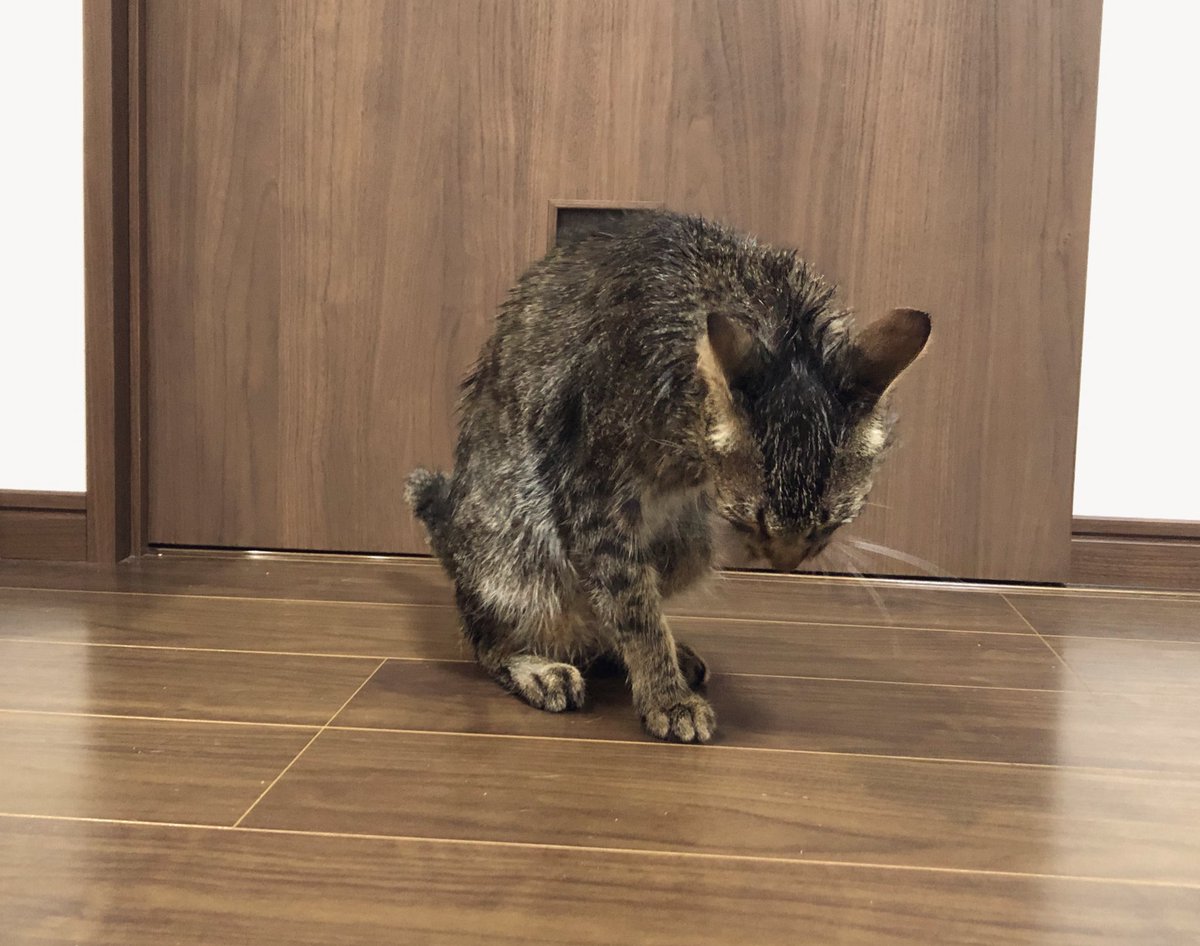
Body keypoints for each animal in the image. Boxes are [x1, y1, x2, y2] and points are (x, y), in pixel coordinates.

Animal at [407, 210, 929, 743]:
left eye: (829, 524)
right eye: (754, 521)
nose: (785, 563)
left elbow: (630, 605)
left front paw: (663, 671)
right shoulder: (593, 498)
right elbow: (634, 611)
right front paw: (667, 697)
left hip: (690, 544)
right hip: (520, 543)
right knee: (492, 635)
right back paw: (539, 666)